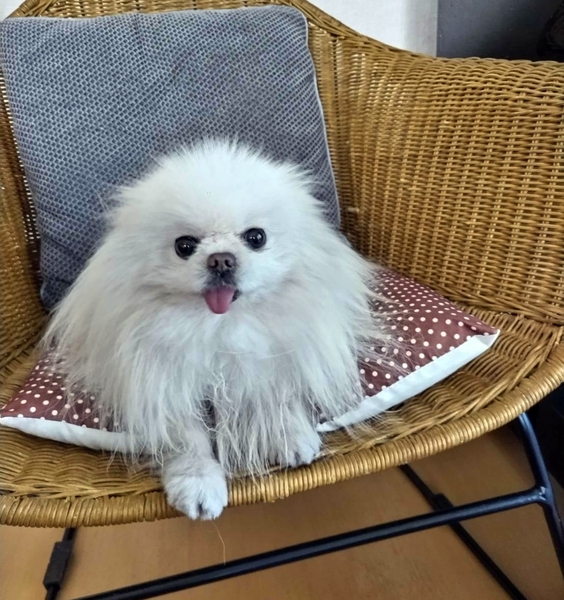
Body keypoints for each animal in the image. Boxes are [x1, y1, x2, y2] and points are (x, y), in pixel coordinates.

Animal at [45, 141, 387, 519]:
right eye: (184, 246)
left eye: (256, 238)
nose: (221, 259)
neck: (220, 329)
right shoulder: (163, 381)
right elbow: (187, 439)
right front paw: (198, 484)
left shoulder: (272, 355)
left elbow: (279, 394)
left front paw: (290, 435)